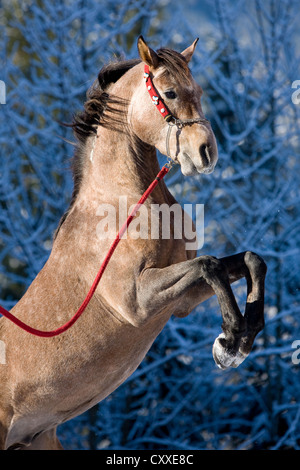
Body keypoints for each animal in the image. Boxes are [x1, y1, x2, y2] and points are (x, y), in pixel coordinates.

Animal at [0, 35, 268, 448]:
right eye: (170, 92)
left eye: (199, 91)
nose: (207, 152)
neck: (122, 205)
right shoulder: (137, 301)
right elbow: (209, 265)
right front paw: (230, 343)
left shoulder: (180, 302)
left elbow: (247, 261)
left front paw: (241, 338)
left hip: (39, 439)